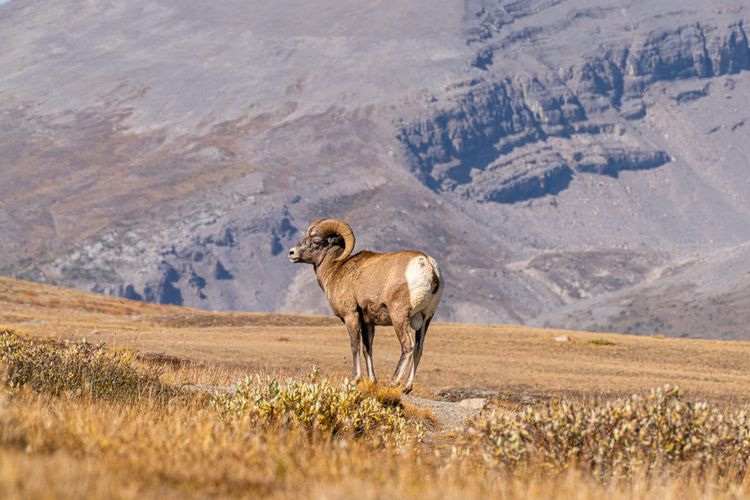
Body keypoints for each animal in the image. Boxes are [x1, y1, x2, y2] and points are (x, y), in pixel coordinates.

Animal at [288, 218, 444, 393]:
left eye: (316, 241)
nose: (292, 253)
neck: (336, 270)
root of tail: (428, 267)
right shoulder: (368, 323)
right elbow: (367, 349)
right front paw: (372, 380)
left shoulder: (351, 316)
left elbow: (355, 346)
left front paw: (354, 379)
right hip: (426, 319)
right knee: (418, 348)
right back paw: (407, 387)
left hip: (399, 316)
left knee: (407, 346)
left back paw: (393, 382)